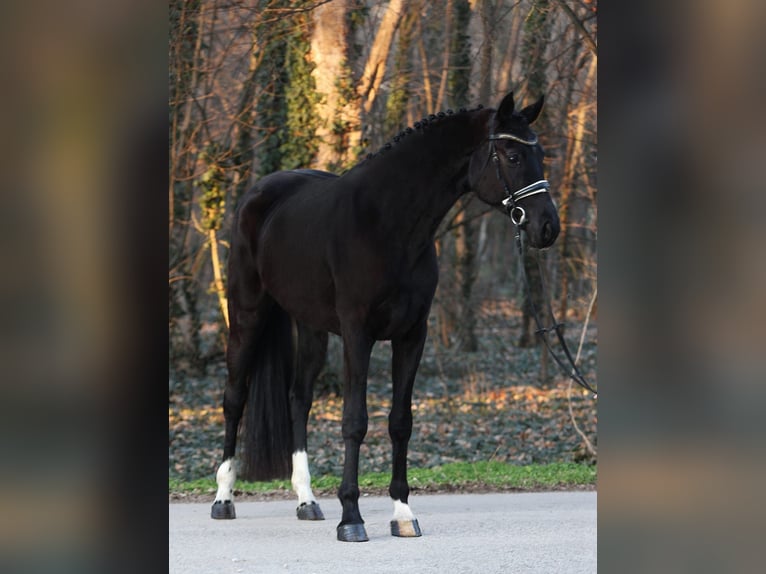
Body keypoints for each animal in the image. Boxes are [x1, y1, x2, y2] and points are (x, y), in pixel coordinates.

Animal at [213, 91, 560, 544]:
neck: (388, 224)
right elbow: (355, 421)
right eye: (514, 155)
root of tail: (258, 193)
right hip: (247, 312)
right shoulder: (358, 334)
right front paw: (351, 517)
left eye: (541, 154)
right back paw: (224, 497)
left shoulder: (412, 335)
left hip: (310, 328)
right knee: (235, 396)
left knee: (298, 399)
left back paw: (307, 500)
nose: (548, 227)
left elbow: (400, 422)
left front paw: (402, 512)